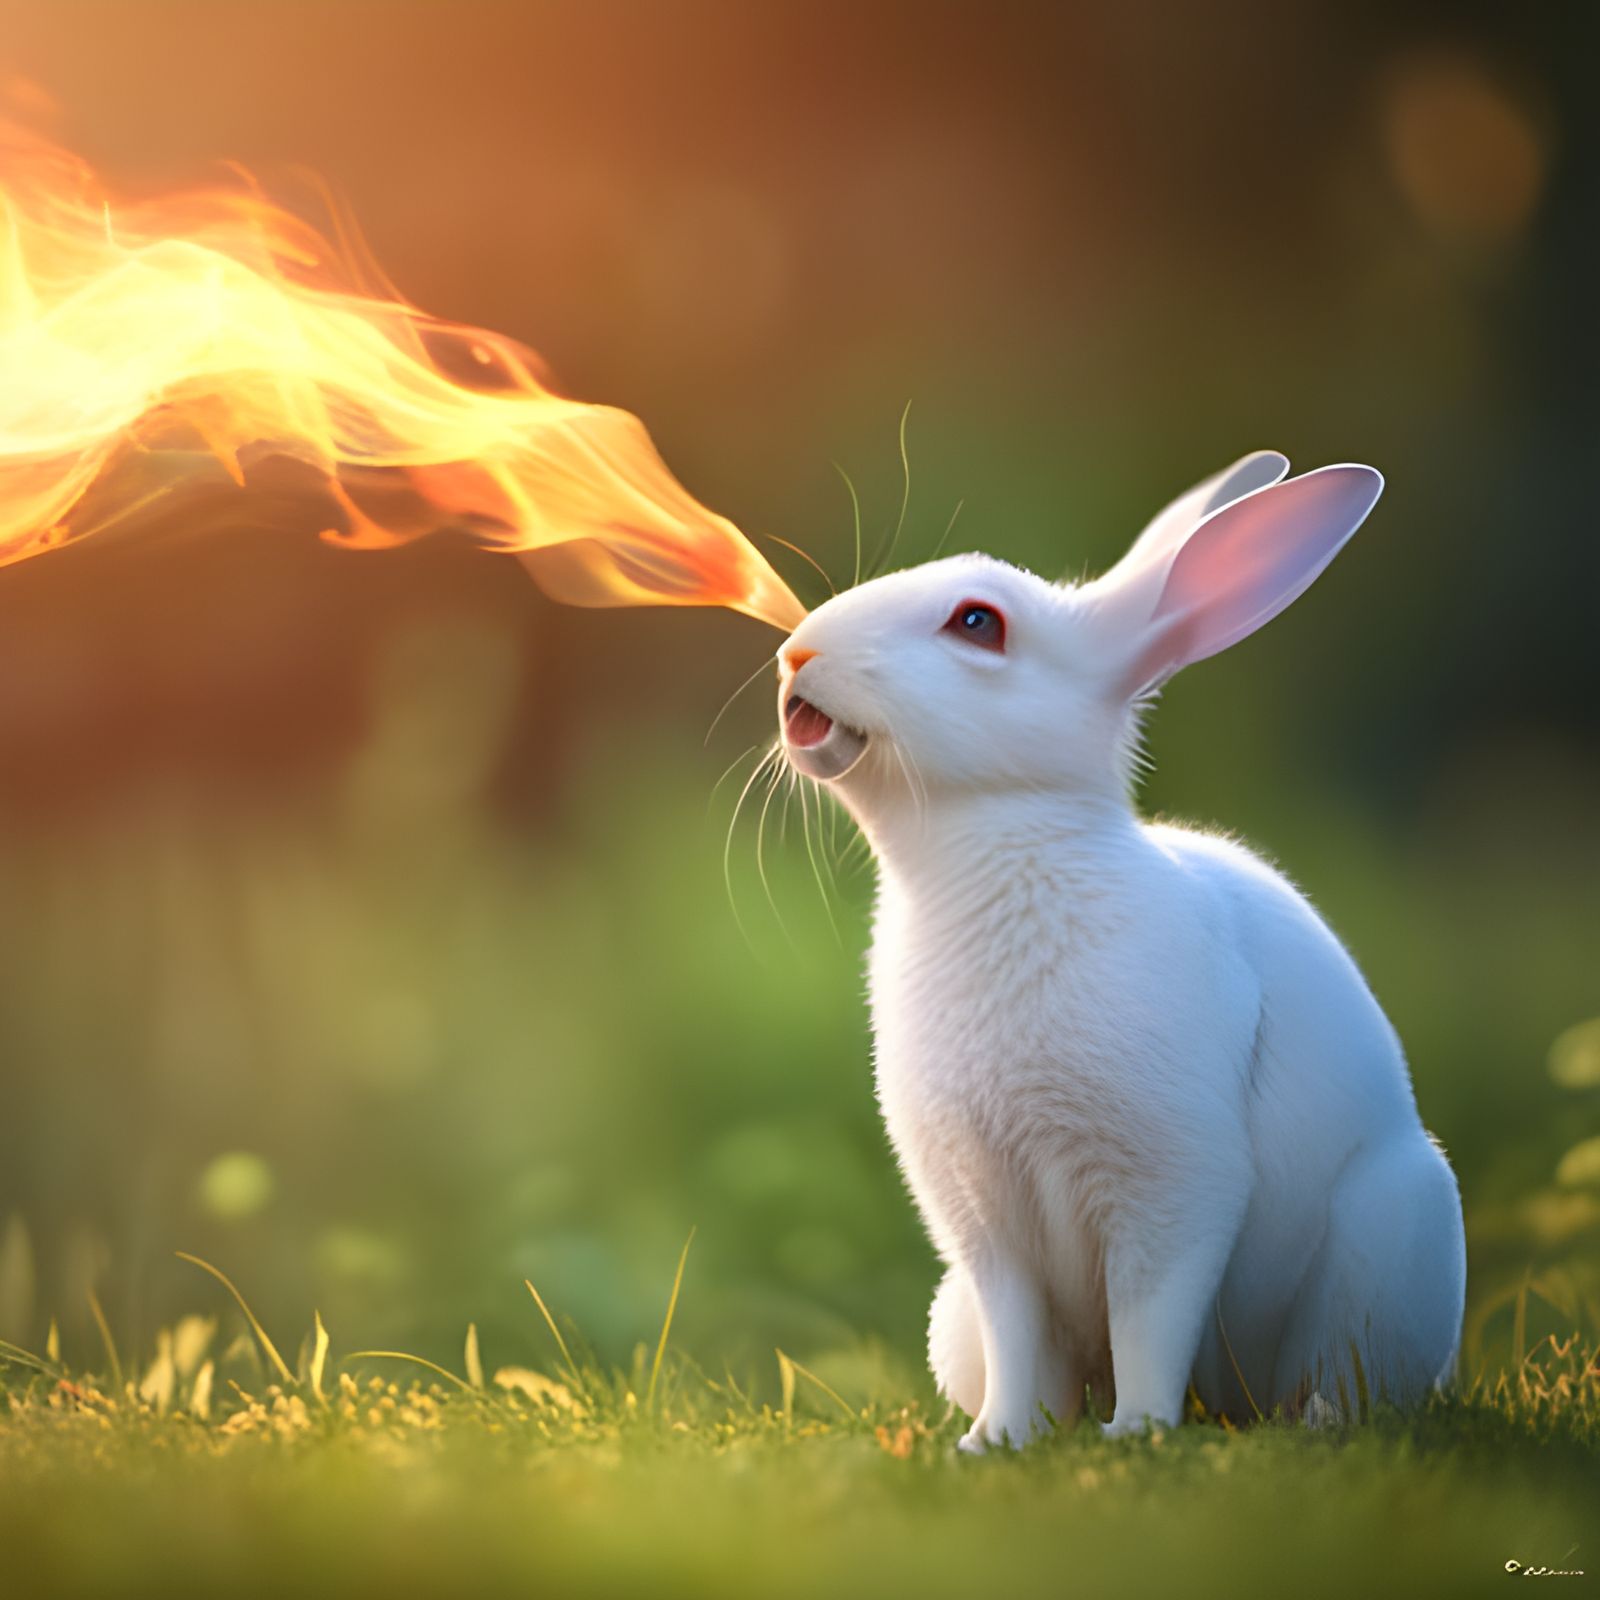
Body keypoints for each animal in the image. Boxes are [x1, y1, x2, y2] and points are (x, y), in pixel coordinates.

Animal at [775, 451, 1466, 1450]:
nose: (796, 653)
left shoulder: (1174, 1182)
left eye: (978, 623)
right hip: (951, 1314)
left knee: (1343, 1373)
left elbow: (1150, 1313)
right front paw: (996, 1442)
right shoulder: (980, 1215)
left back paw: (1316, 1422)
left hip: (1396, 1231)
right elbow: (1019, 1334)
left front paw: (1137, 1430)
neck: (992, 855)